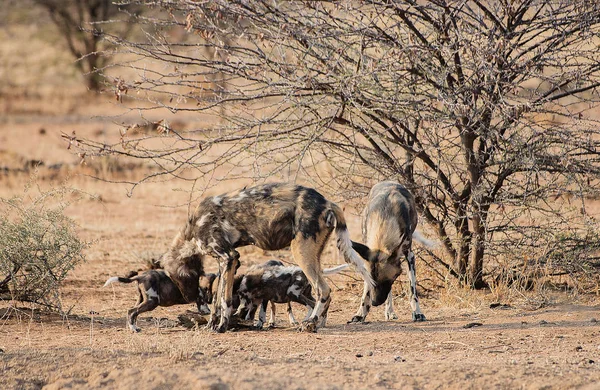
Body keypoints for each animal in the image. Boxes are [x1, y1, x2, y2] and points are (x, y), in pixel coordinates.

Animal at [161, 182, 376, 332]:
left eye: (175, 279)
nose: (187, 297)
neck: (191, 233)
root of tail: (327, 202)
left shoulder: (228, 257)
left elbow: (225, 300)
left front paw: (221, 327)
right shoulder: (228, 262)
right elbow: (217, 299)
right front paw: (211, 325)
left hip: (301, 252)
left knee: (323, 290)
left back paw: (309, 324)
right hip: (314, 254)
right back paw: (319, 322)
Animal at [346, 182, 436, 322]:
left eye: (386, 281)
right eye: (372, 282)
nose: (374, 303)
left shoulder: (410, 256)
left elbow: (413, 291)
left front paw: (417, 313)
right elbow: (366, 291)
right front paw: (361, 313)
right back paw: (389, 311)